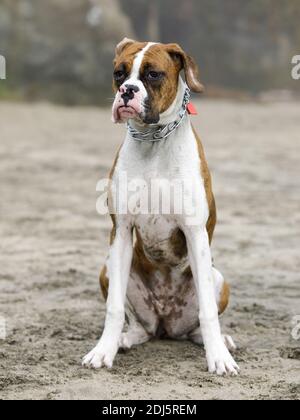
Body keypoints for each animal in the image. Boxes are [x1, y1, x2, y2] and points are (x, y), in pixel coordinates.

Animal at [82, 37, 239, 376]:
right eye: (119, 72)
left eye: (153, 75)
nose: (127, 90)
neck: (153, 141)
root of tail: (166, 322)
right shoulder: (121, 231)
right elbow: (113, 308)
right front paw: (103, 351)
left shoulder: (194, 232)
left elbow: (208, 313)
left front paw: (218, 357)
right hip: (110, 270)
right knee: (141, 327)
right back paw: (125, 339)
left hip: (218, 278)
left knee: (197, 326)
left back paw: (221, 341)